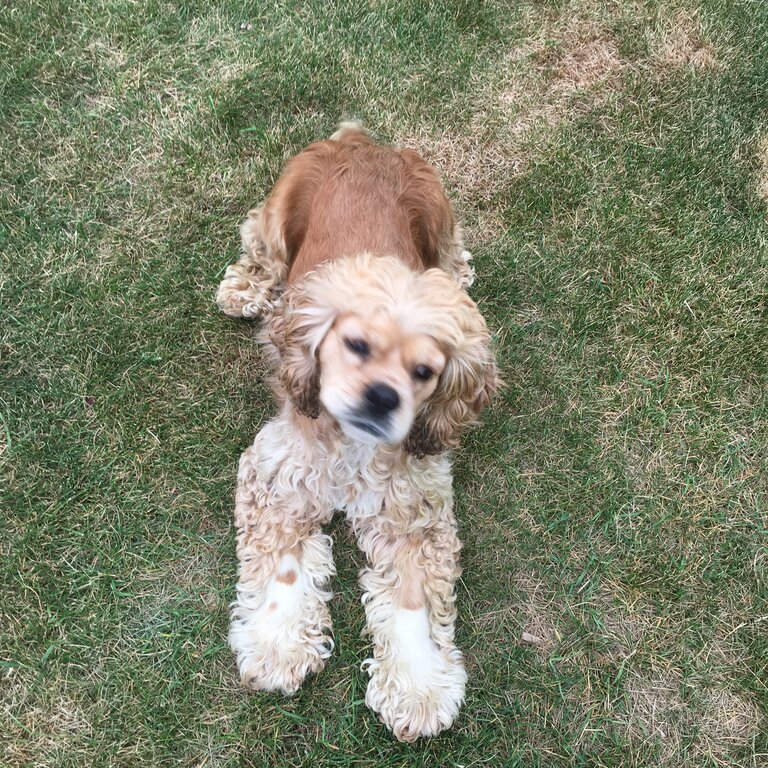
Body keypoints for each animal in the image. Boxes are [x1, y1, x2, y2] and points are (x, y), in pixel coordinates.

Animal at [218, 123, 498, 740]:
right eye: (356, 344)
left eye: (425, 371)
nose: (381, 397)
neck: (352, 445)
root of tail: (361, 141)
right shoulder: (277, 477)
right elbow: (285, 567)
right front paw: (276, 648)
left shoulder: (413, 510)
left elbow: (413, 601)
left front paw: (418, 687)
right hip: (276, 218)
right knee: (259, 249)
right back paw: (244, 290)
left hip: (438, 212)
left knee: (450, 250)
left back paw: (457, 274)